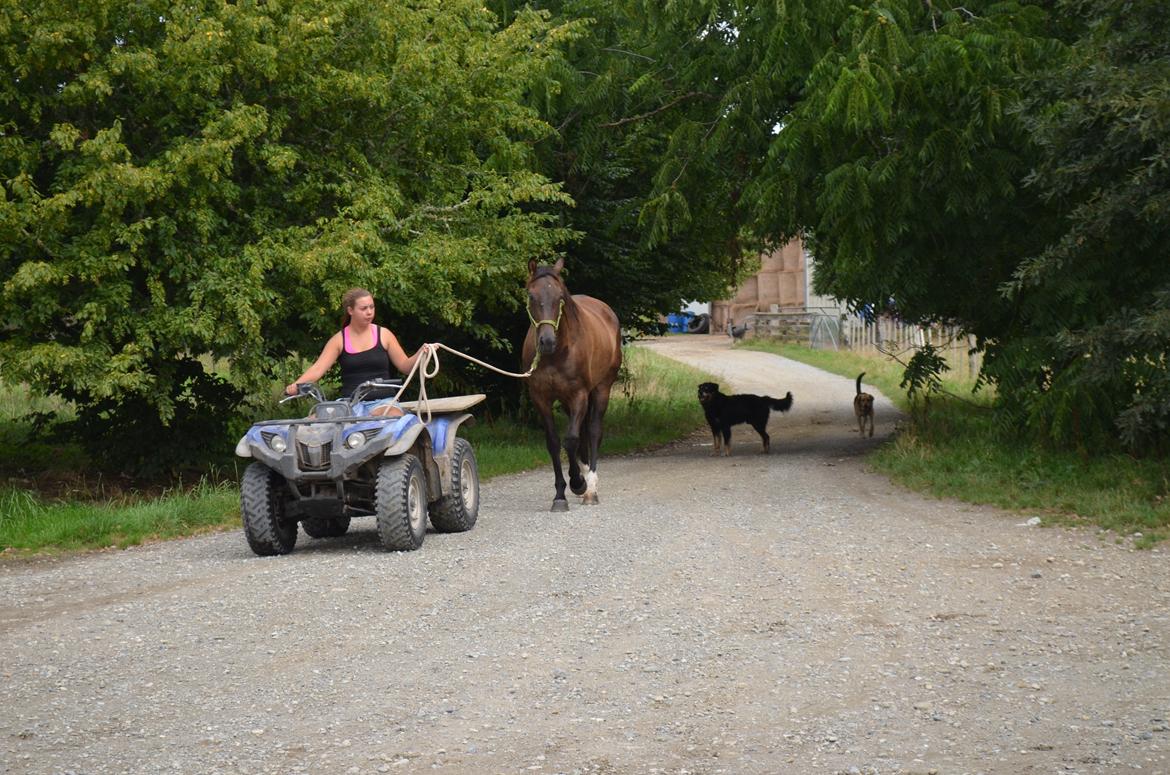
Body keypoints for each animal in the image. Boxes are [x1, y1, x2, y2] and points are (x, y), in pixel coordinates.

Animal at [522, 258, 622, 512]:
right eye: (531, 296)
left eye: (560, 297)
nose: (547, 341)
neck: (557, 354)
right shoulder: (541, 398)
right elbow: (554, 442)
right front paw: (560, 495)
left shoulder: (579, 395)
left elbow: (571, 440)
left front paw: (578, 483)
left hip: (601, 389)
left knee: (593, 431)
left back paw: (591, 488)